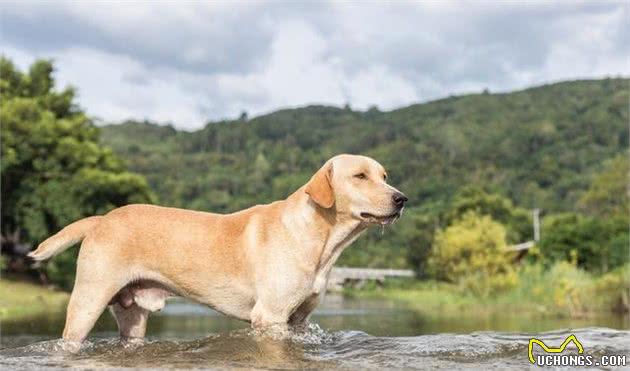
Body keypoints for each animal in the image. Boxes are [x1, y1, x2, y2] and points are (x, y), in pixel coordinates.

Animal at [28, 154, 410, 346]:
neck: (322, 237)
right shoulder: (270, 317)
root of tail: (101, 219)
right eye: (360, 176)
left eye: (384, 175)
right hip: (87, 301)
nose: (401, 198)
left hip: (132, 315)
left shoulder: (299, 320)